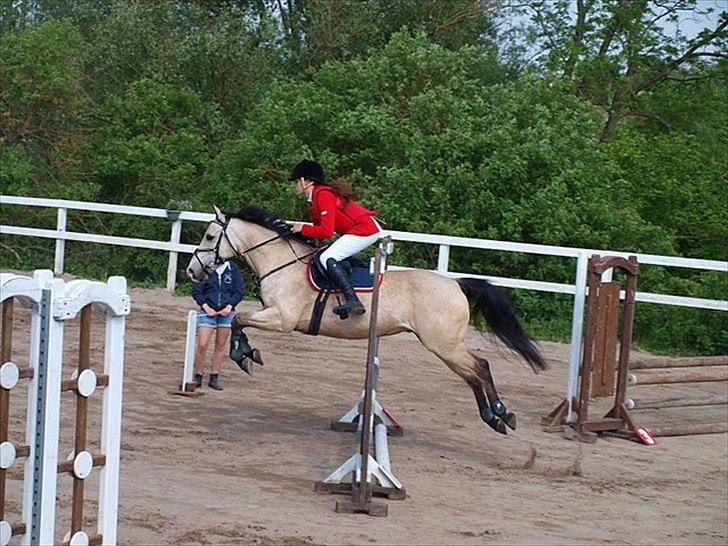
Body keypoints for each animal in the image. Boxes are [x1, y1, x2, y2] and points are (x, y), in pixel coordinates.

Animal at [185, 205, 548, 434]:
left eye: (208, 237)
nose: (191, 271)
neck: (281, 263)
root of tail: (455, 283)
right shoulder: (274, 316)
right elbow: (239, 320)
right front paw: (246, 353)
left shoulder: (282, 319)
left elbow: (238, 320)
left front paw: (244, 355)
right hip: (444, 346)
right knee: (472, 374)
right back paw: (492, 417)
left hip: (443, 343)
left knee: (480, 367)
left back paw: (501, 413)